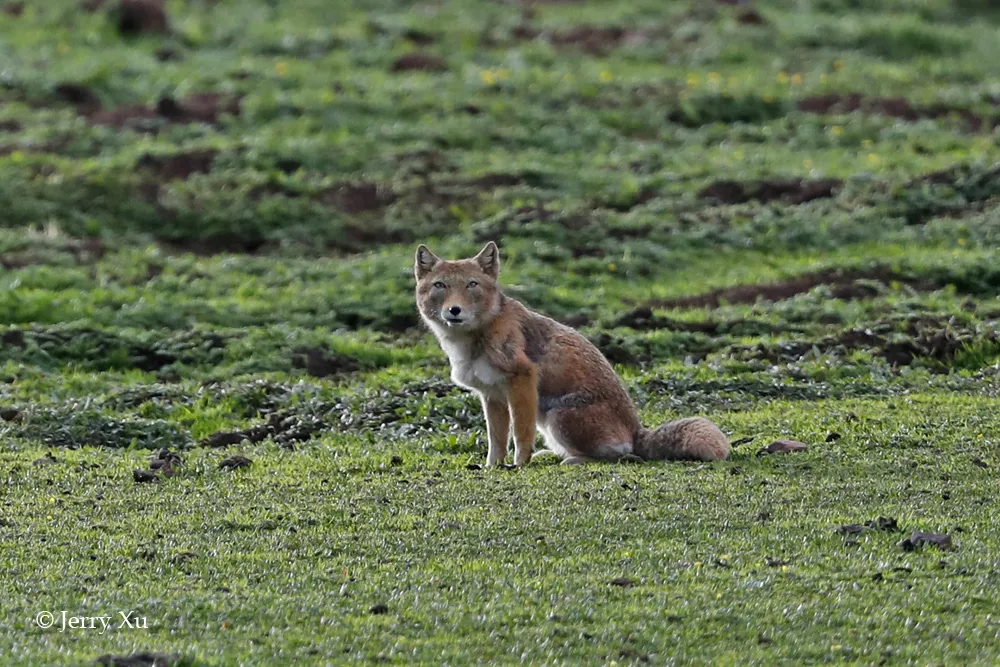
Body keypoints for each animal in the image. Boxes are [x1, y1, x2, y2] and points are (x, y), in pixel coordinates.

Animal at [410, 243, 732, 468]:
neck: (475, 338)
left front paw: (519, 465)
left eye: (471, 285)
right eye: (440, 286)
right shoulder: (492, 395)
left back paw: (571, 460)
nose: (454, 310)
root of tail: (636, 430)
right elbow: (496, 440)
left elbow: (520, 434)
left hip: (557, 417)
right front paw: (493, 467)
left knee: (621, 456)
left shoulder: (522, 380)